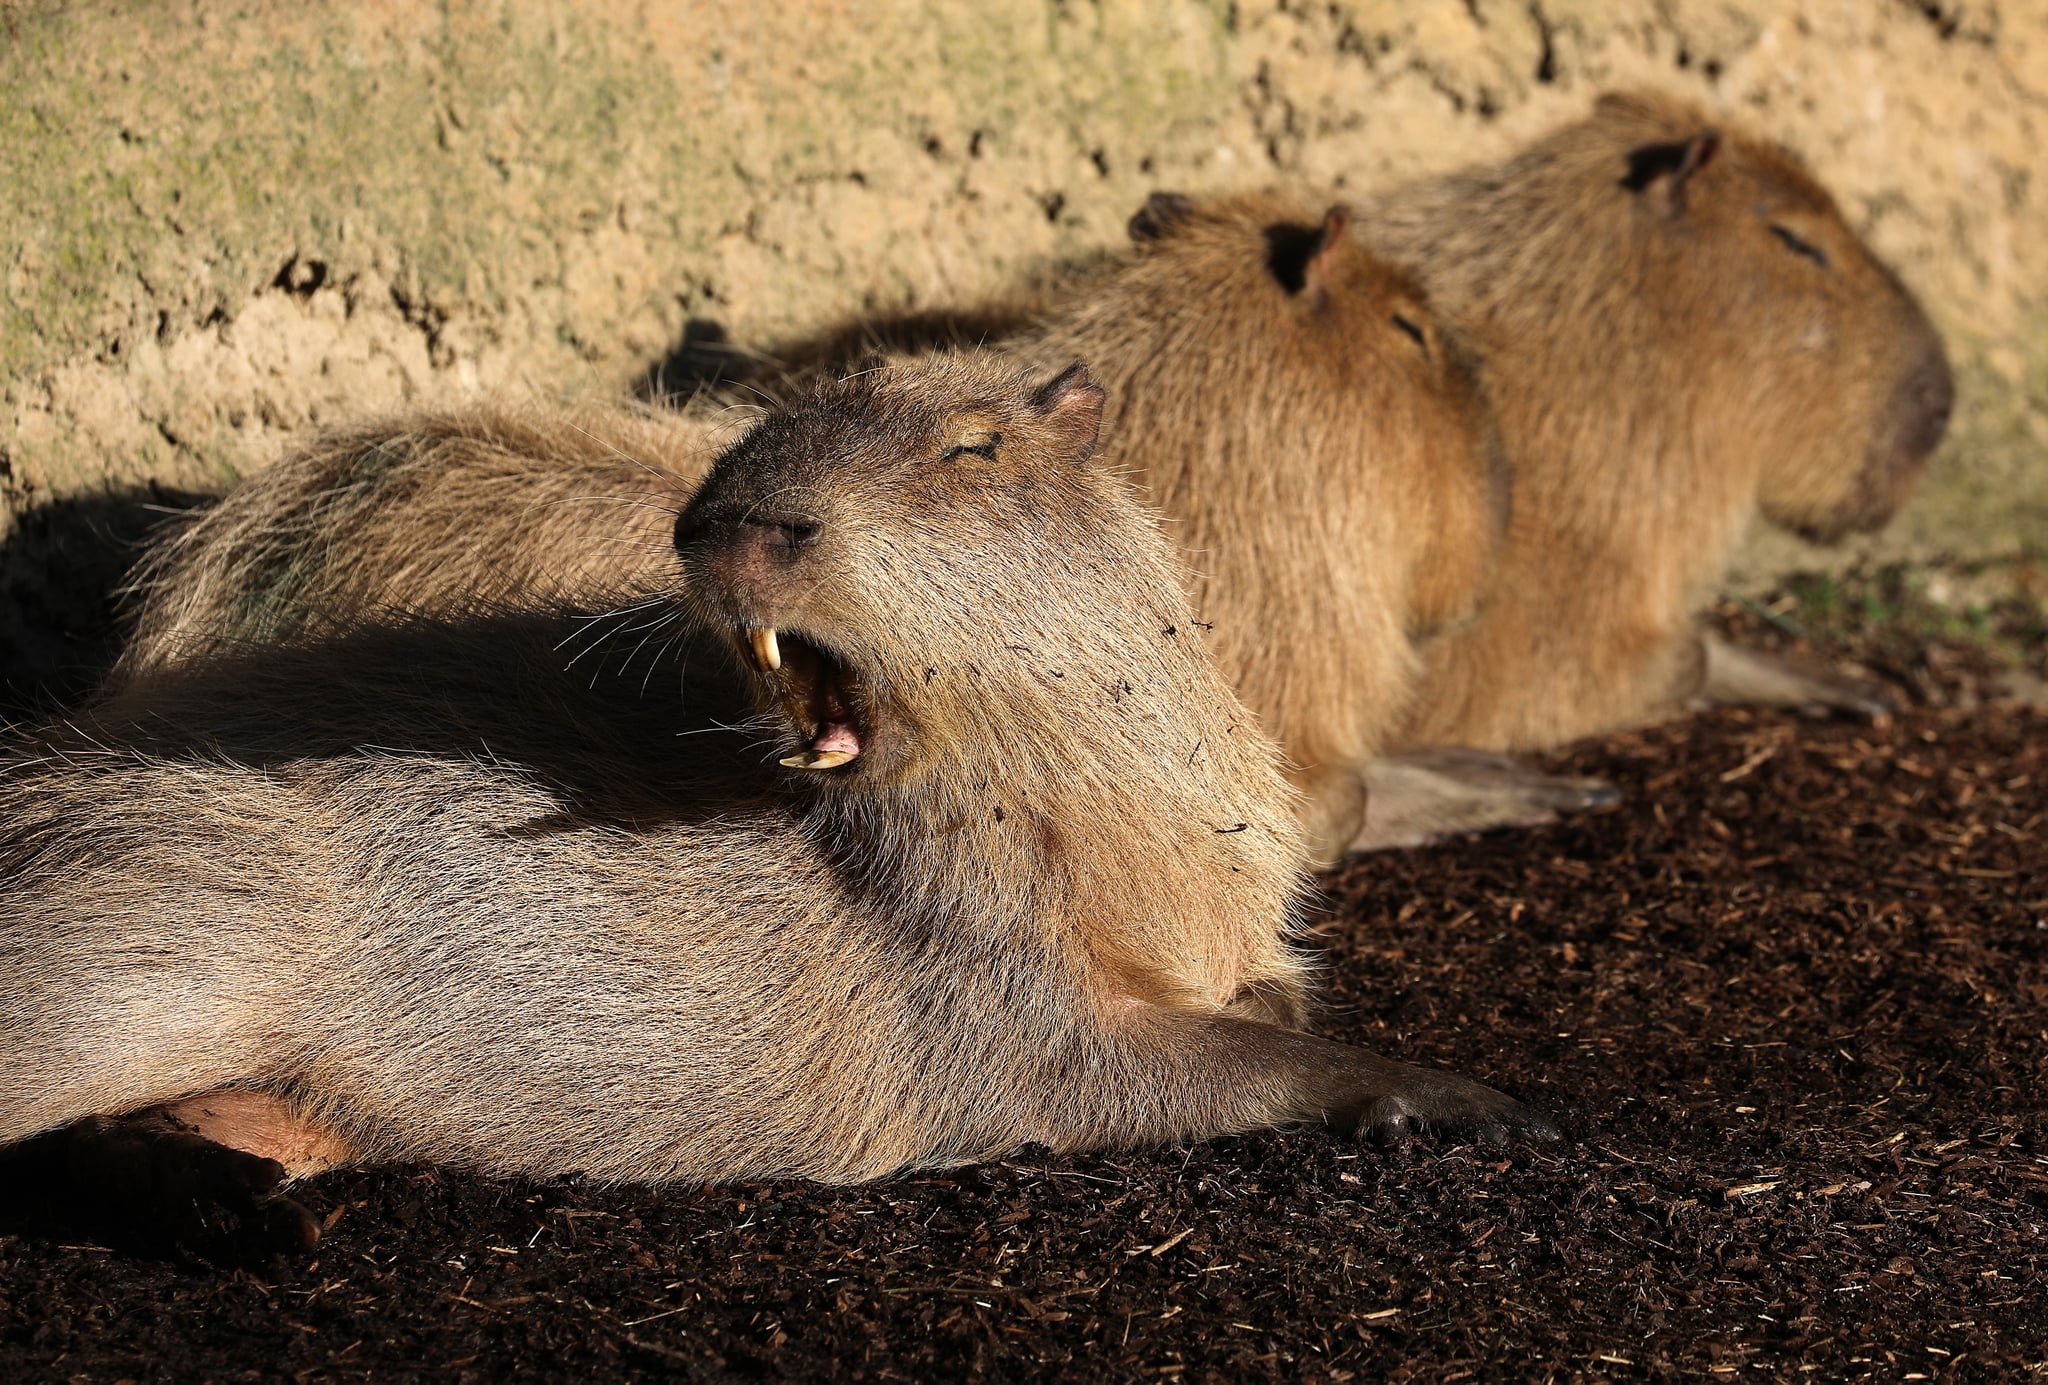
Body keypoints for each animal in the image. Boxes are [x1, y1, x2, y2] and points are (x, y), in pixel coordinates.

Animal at [1, 356, 1554, 1252]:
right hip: (145, 953)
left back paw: (243, 1209)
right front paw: (1471, 1102)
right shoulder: (987, 1008)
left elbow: (1265, 1002)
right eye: (755, 432)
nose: (731, 524)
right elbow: (1186, 1064)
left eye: (975, 447)